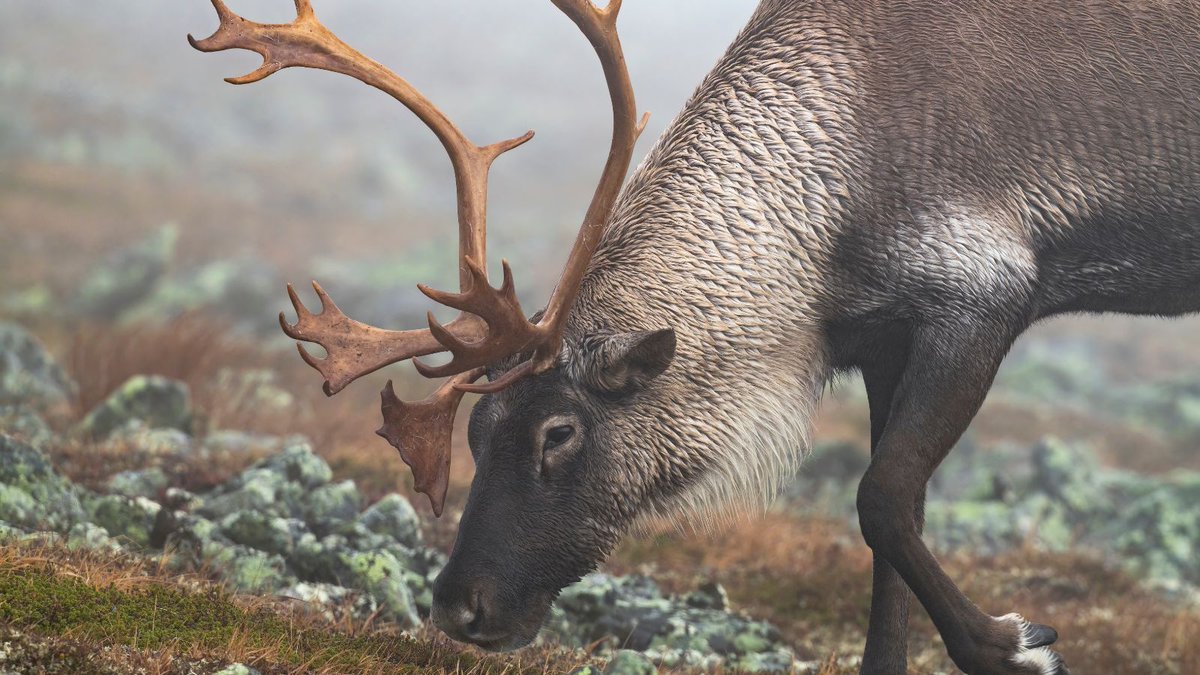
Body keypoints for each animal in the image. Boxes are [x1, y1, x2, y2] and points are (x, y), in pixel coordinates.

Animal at [188, 0, 1200, 673]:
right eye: (475, 428)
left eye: (559, 433)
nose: (458, 607)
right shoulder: (882, 335)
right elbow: (889, 528)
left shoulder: (983, 296)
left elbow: (880, 497)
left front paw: (1011, 643)